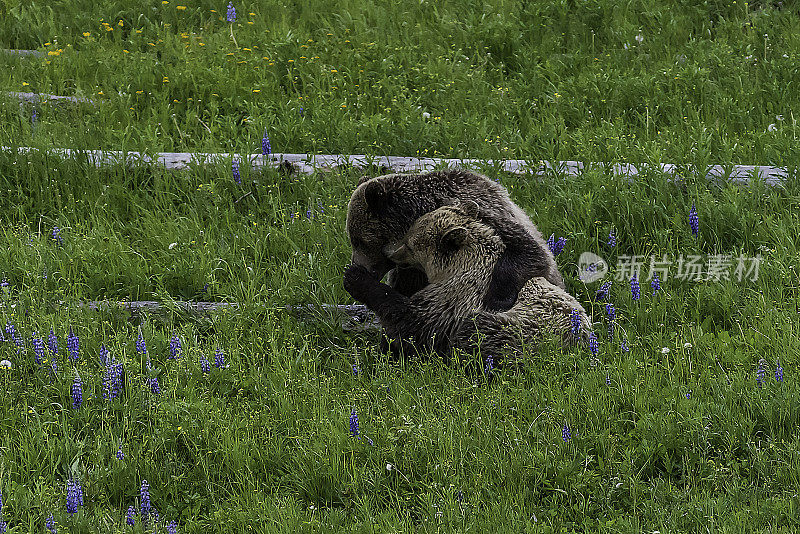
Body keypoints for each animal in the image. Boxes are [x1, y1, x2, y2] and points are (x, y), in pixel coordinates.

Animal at [340, 203, 592, 366]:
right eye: (408, 232)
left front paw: (355, 277)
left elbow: (411, 321)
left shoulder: (458, 296)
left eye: (410, 244)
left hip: (518, 331)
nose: (392, 253)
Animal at [344, 171, 564, 314]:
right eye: (353, 238)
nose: (359, 265)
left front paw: (498, 300)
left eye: (359, 240)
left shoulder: (483, 214)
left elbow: (530, 253)